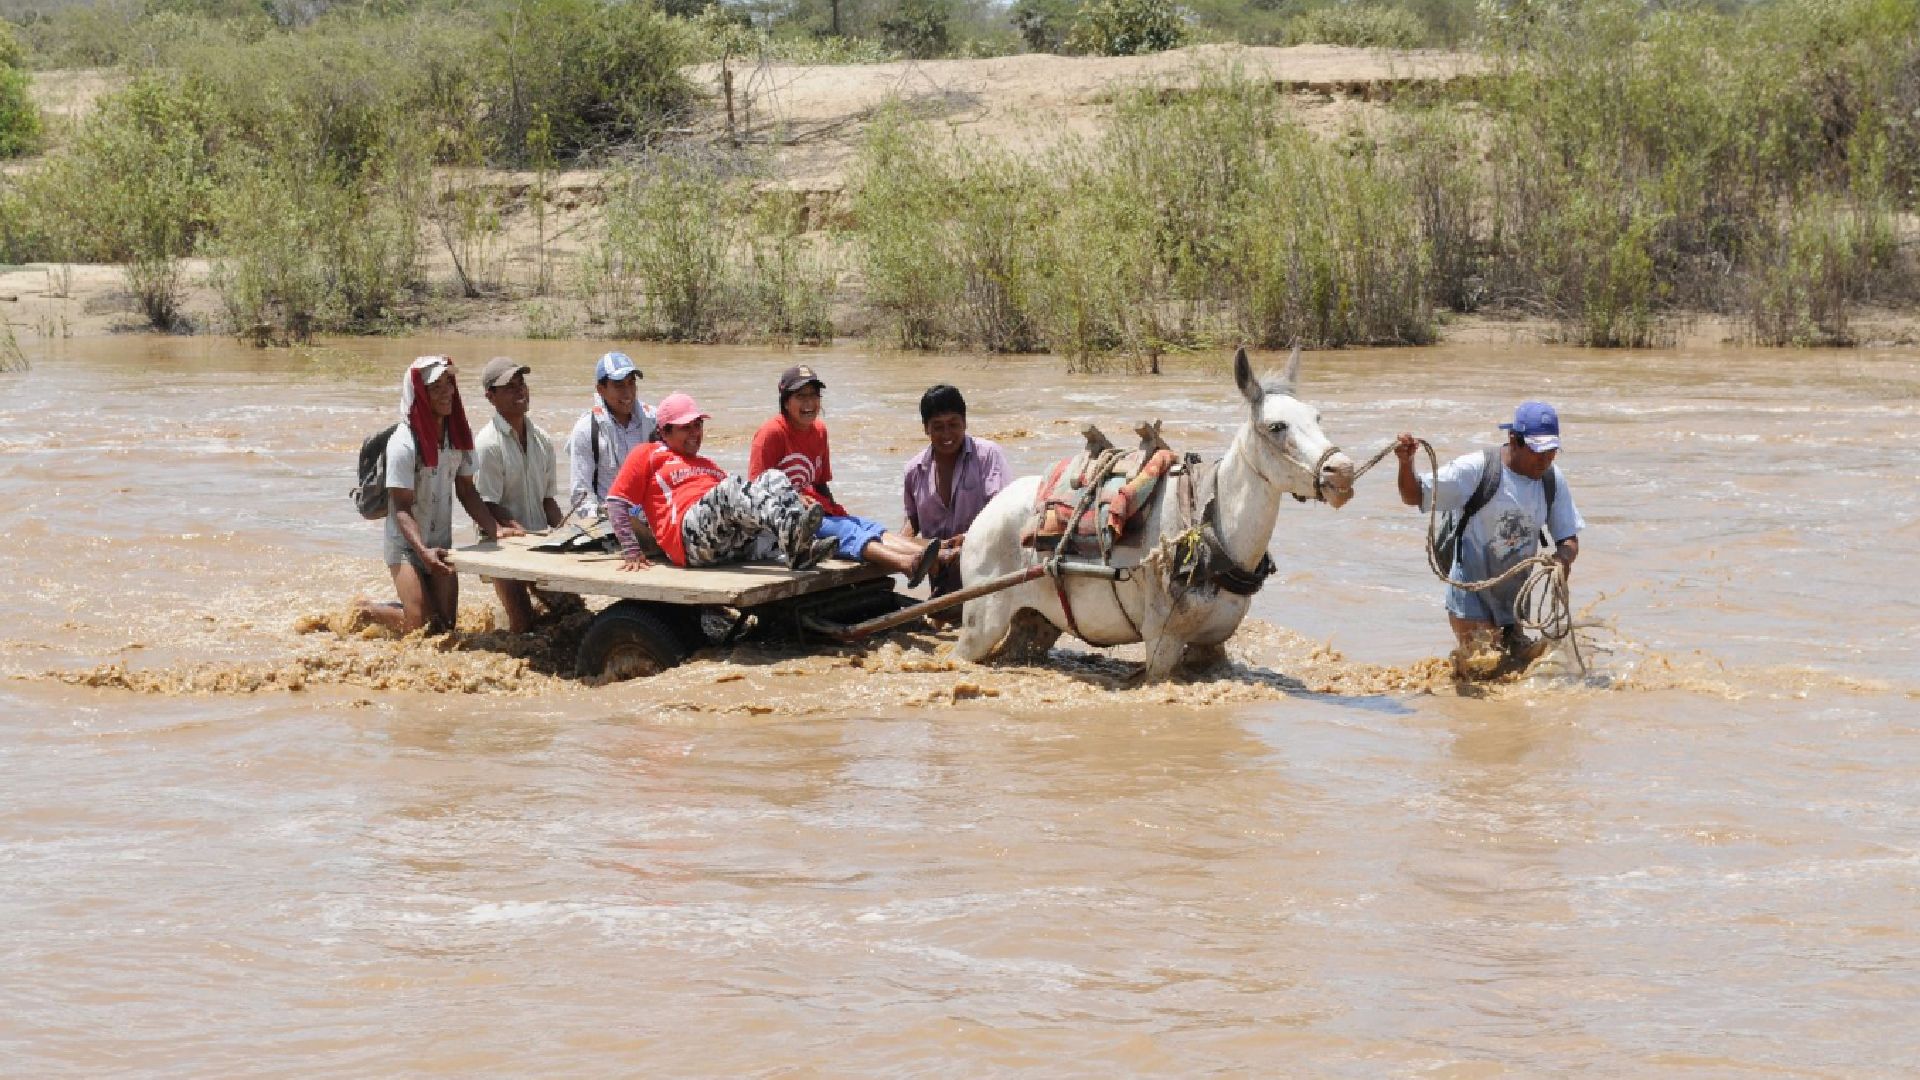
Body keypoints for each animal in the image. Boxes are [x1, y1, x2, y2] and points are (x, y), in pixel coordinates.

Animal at [956, 343, 1351, 680]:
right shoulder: (1162, 644)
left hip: (1036, 622)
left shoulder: (1213, 644)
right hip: (980, 623)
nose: (1343, 472)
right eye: (1277, 426)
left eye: (1317, 417)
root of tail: (986, 513)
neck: (1208, 532)